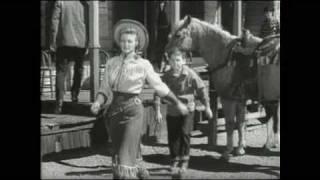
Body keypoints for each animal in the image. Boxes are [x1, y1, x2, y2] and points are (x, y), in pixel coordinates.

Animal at [165, 15, 280, 160]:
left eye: (178, 35)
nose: (166, 55)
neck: (224, 55)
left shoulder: (228, 99)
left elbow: (230, 123)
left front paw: (227, 151)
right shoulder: (240, 100)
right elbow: (241, 122)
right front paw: (240, 149)